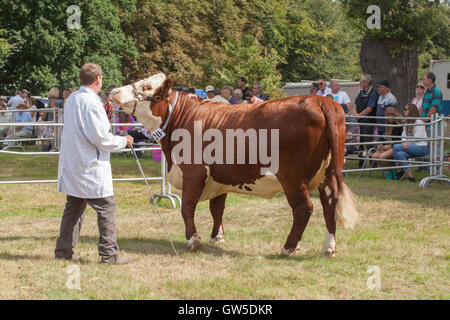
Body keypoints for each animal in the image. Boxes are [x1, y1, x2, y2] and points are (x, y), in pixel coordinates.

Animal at [111, 73, 358, 258]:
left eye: (147, 86)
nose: (114, 92)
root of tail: (321, 100)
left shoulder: (193, 174)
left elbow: (187, 207)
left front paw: (193, 240)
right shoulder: (219, 177)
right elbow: (217, 207)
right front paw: (217, 236)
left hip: (292, 178)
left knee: (304, 208)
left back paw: (288, 247)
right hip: (328, 174)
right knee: (330, 203)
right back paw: (328, 248)